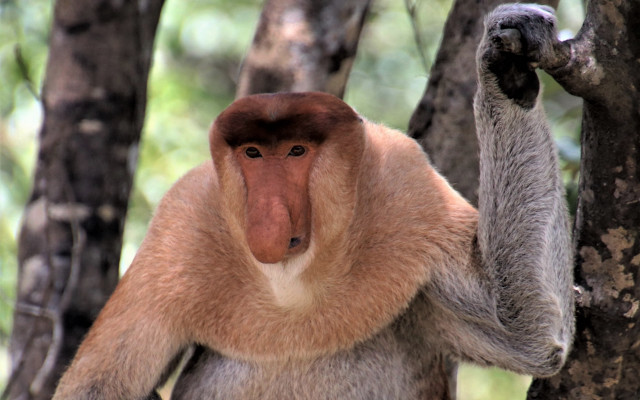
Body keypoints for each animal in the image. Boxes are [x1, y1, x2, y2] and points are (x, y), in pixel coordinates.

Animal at [53, 4, 574, 399]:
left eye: (297, 151)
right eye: (254, 153)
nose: (268, 216)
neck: (294, 280)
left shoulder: (410, 190)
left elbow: (527, 333)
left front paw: (508, 65)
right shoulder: (179, 227)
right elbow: (97, 387)